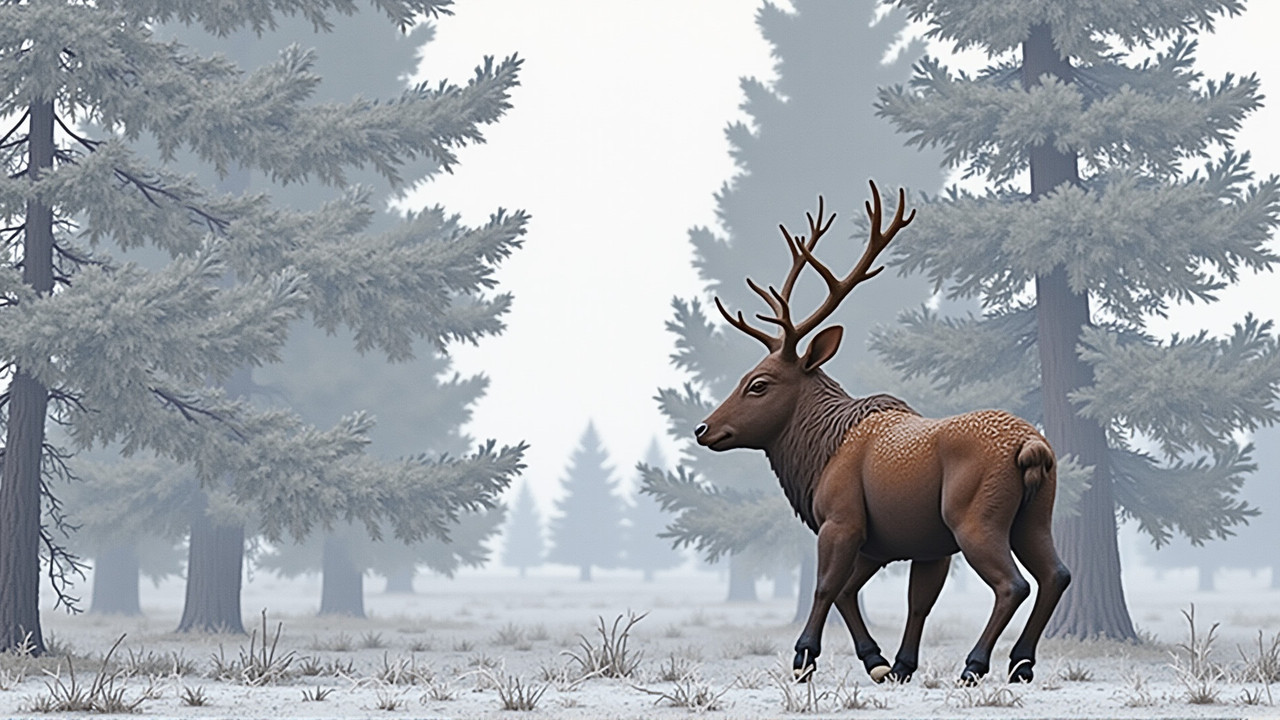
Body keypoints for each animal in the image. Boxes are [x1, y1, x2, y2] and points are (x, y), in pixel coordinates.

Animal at [693, 181, 1071, 686]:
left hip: (975, 517)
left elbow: (827, 587)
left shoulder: (842, 519)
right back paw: (1021, 663)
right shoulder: (911, 543)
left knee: (1013, 583)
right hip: (1035, 516)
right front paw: (888, 662)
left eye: (759, 384)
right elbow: (903, 599)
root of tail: (1032, 447)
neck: (817, 456)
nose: (703, 428)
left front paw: (804, 659)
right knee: (1056, 574)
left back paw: (975, 664)